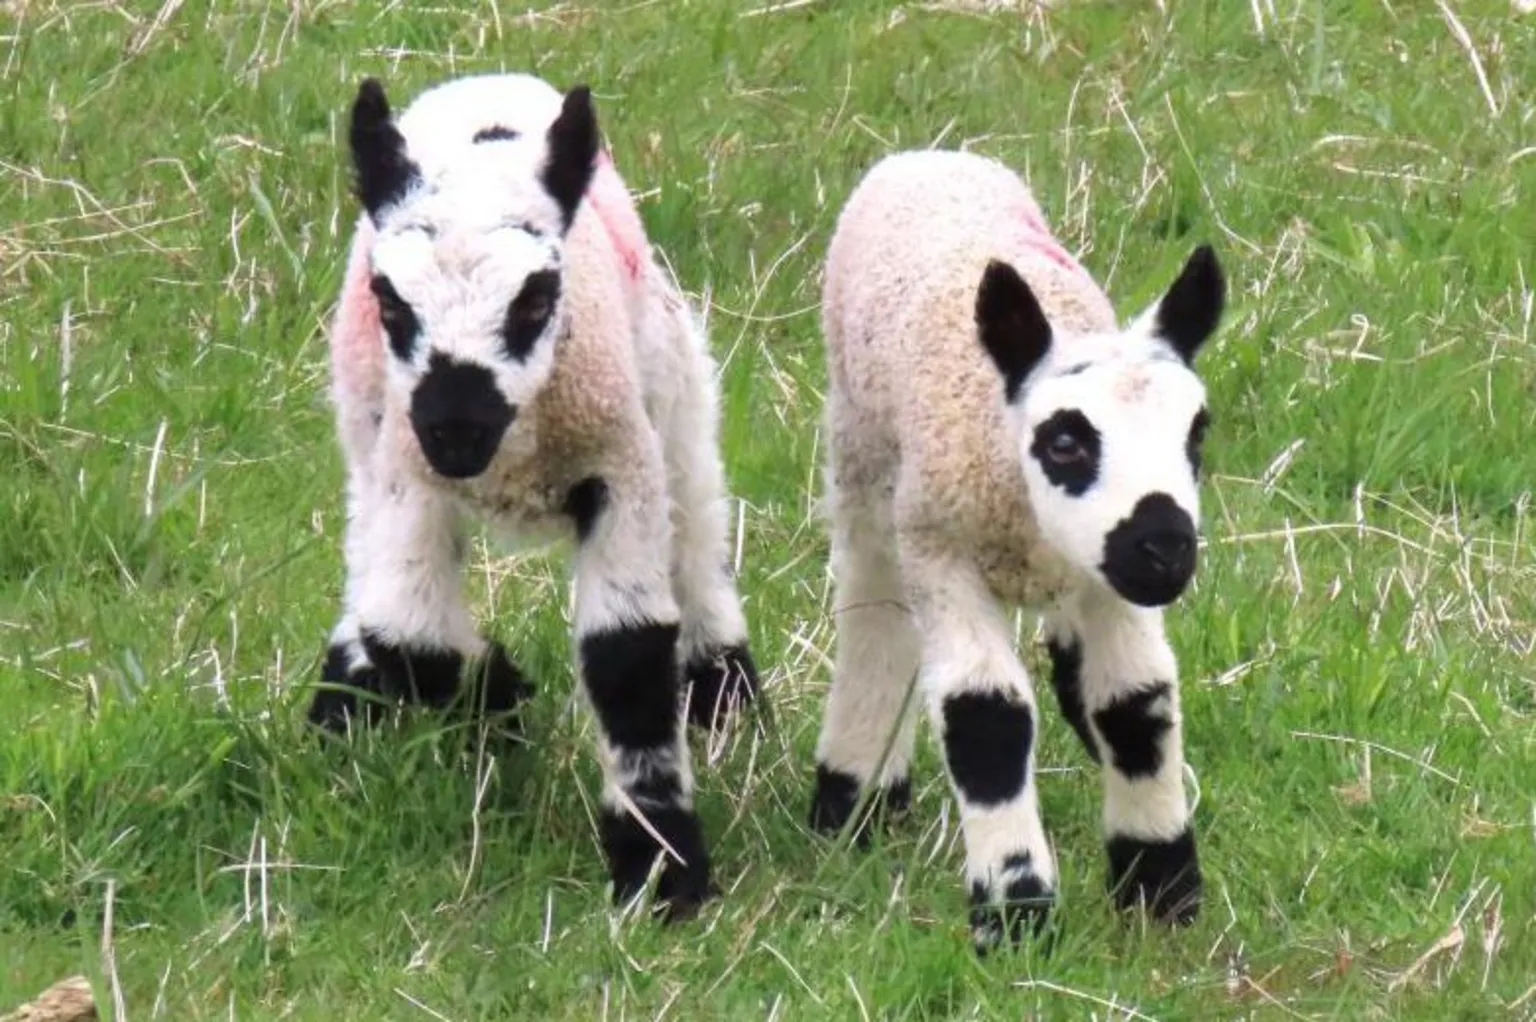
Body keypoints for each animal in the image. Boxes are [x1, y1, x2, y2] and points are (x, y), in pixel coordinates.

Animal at [310, 71, 760, 919]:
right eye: (391, 303)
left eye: (534, 300)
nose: (457, 428)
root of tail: (480, 81)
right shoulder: (408, 472)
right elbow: (411, 636)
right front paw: (503, 693)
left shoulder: (620, 467)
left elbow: (626, 651)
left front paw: (661, 868)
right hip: (366, 425)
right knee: (366, 567)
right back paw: (343, 701)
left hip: (672, 387)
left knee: (697, 532)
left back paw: (726, 694)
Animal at [807, 148, 1226, 949]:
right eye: (1064, 442)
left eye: (1197, 432)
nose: (1165, 548)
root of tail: (928, 155)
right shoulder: (942, 551)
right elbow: (984, 711)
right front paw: (1015, 908)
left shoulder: (1106, 583)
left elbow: (1136, 701)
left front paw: (1161, 887)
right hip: (866, 466)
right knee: (876, 616)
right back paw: (854, 796)